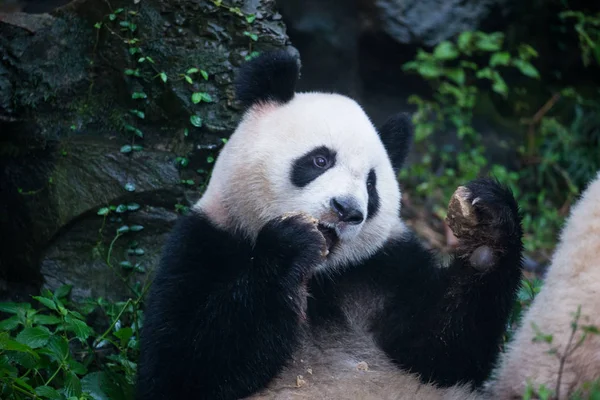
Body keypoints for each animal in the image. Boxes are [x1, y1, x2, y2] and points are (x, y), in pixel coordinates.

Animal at [136, 50, 524, 400]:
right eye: (320, 160)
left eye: (371, 184)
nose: (346, 209)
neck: (319, 276)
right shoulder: (204, 242)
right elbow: (181, 367)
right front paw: (289, 248)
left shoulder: (381, 267)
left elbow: (441, 353)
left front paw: (490, 226)